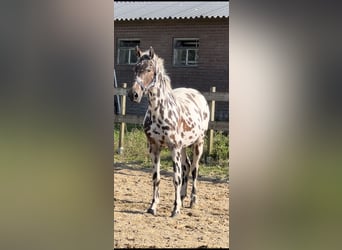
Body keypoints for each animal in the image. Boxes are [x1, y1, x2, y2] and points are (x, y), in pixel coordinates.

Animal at [127, 46, 210, 217]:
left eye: (149, 69)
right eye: (135, 69)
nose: (134, 94)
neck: (159, 112)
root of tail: (199, 95)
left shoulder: (174, 148)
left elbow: (176, 178)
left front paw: (175, 209)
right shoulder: (154, 147)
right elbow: (156, 177)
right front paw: (153, 206)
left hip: (197, 144)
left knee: (194, 169)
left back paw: (192, 200)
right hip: (184, 147)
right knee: (187, 166)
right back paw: (183, 197)